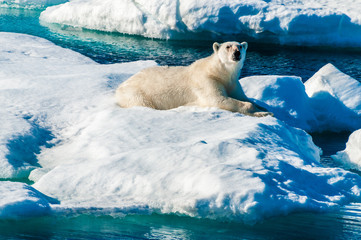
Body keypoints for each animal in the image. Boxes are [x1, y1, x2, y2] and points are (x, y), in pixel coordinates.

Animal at [116, 41, 272, 117]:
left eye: (240, 46)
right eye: (228, 46)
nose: (237, 53)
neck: (219, 72)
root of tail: (119, 88)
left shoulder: (232, 83)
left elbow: (243, 97)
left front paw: (264, 108)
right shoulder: (206, 81)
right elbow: (218, 99)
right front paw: (263, 112)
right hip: (136, 94)